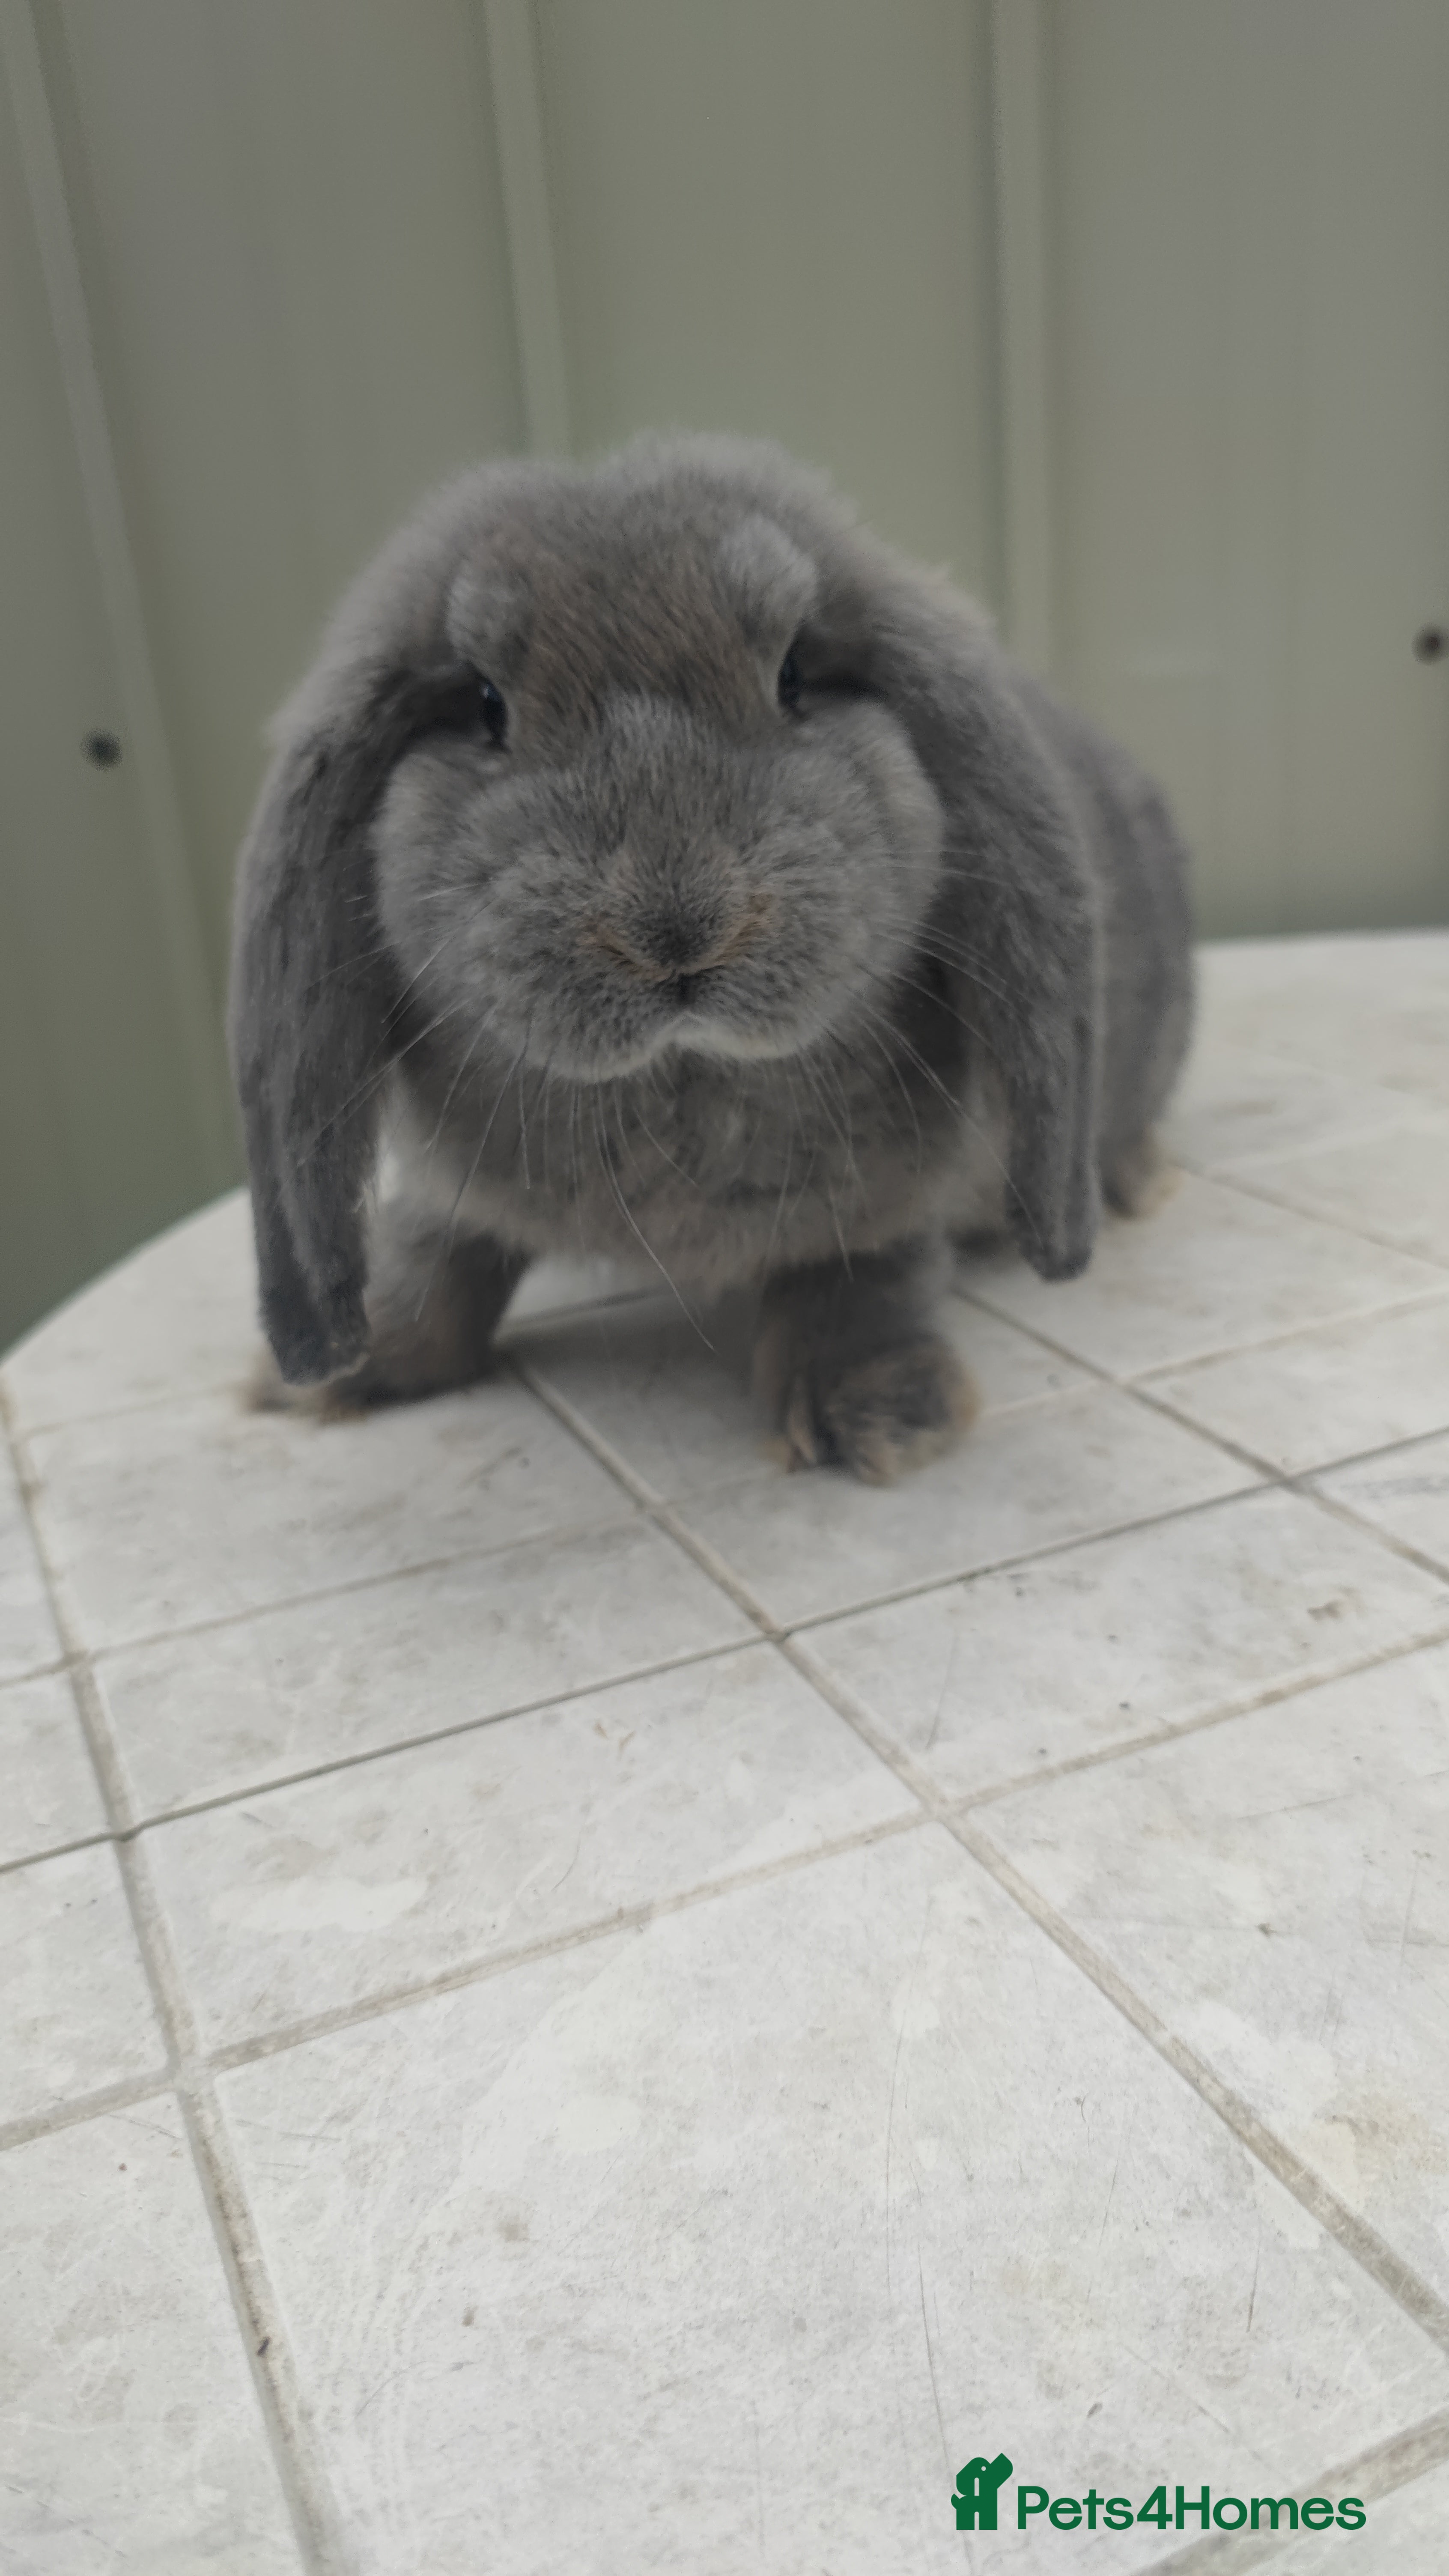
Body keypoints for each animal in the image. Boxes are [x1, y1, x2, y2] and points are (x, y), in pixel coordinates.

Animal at [229, 434, 1193, 1484]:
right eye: (485, 705)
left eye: (794, 674)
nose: (677, 927)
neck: (680, 1079)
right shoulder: (453, 1194)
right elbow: (433, 1255)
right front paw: (334, 1375)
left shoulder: (883, 1205)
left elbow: (861, 1279)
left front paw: (879, 1415)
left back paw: (1134, 1182)